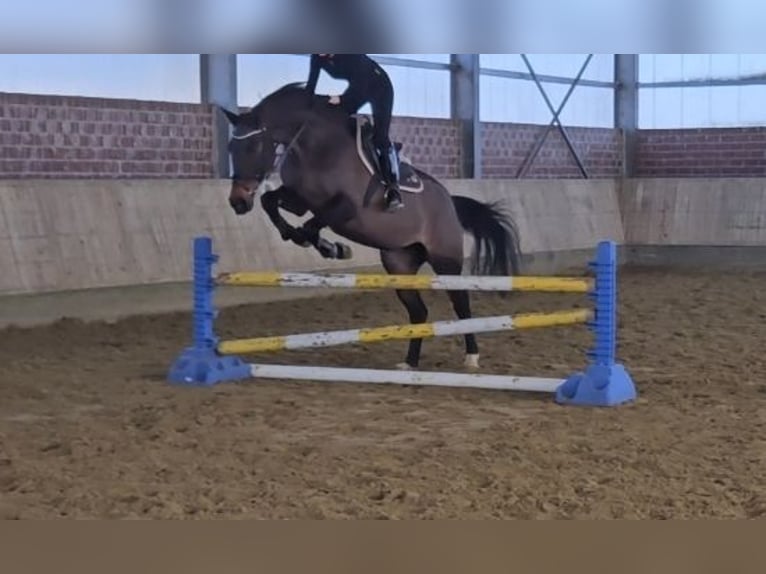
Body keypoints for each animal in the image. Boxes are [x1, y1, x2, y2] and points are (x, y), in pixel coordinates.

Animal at [221, 82, 522, 371]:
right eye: (230, 149)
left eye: (253, 147)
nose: (237, 202)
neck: (318, 147)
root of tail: (450, 202)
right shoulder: (300, 200)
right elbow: (270, 202)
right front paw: (309, 240)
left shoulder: (347, 208)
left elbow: (312, 223)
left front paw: (332, 248)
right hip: (399, 264)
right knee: (418, 311)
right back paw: (409, 362)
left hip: (445, 260)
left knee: (460, 303)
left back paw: (471, 357)